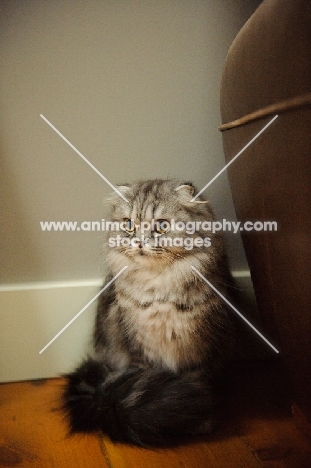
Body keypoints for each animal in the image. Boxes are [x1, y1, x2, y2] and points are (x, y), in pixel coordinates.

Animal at [62, 178, 234, 446]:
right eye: (129, 224)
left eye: (161, 226)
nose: (140, 242)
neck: (157, 290)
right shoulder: (140, 348)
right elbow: (154, 378)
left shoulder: (201, 347)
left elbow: (198, 381)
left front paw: (201, 421)